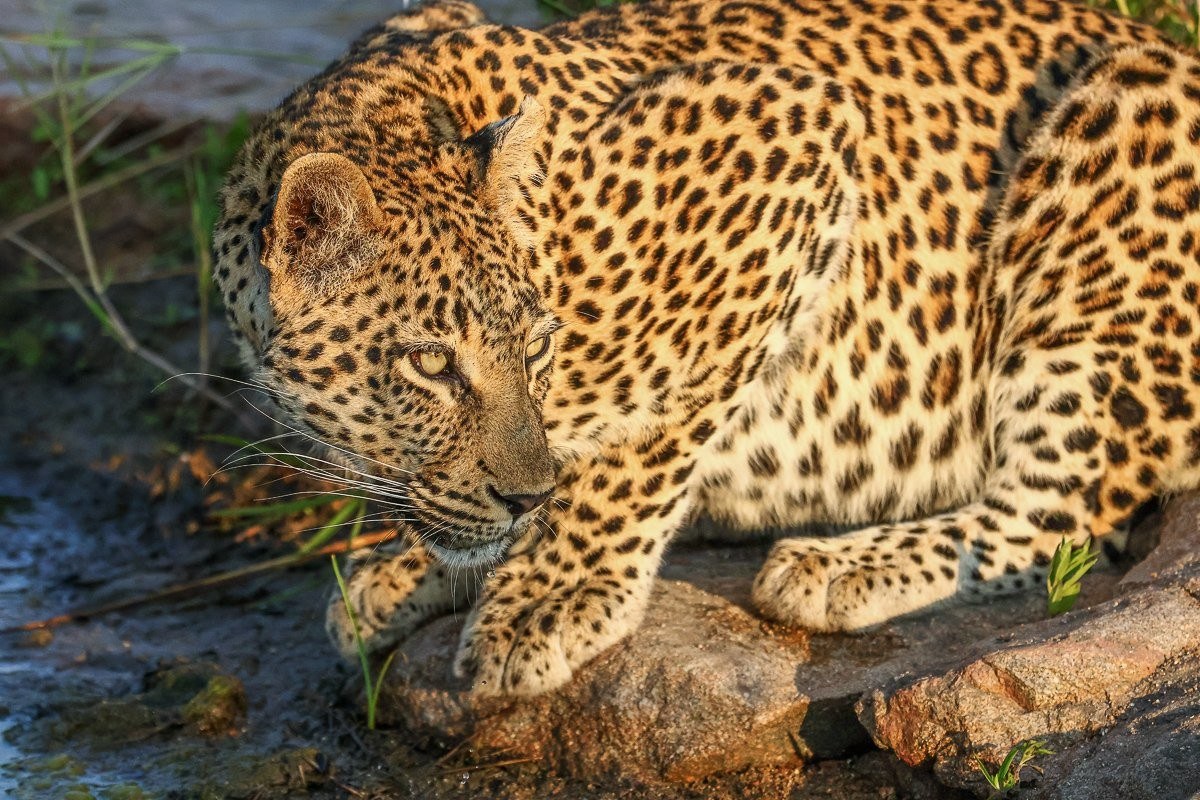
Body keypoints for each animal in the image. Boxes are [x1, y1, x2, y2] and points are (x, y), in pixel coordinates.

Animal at [213, 0, 1200, 697]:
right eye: (430, 363)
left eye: (534, 343)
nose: (526, 498)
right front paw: (419, 566)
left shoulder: (794, 134)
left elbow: (643, 444)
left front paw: (551, 597)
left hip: (1114, 159)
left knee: (1067, 515)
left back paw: (843, 565)